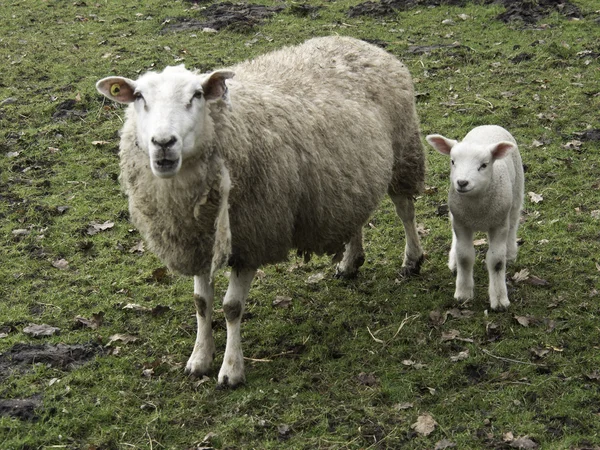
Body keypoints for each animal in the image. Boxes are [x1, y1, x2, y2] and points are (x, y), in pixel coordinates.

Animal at [96, 36, 426, 386]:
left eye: (197, 95)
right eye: (139, 97)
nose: (163, 143)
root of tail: (356, 42)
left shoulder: (254, 236)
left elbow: (231, 307)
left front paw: (231, 369)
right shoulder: (198, 239)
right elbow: (201, 303)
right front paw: (199, 358)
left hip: (404, 147)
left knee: (405, 210)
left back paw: (412, 260)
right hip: (350, 173)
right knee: (356, 213)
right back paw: (350, 262)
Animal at [424, 125, 524, 312]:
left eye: (484, 165)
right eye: (453, 161)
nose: (462, 182)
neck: (477, 210)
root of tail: (489, 125)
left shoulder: (499, 225)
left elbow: (497, 261)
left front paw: (500, 300)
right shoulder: (462, 223)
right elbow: (465, 257)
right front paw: (463, 293)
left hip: (516, 192)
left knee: (514, 222)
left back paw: (510, 253)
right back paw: (453, 261)